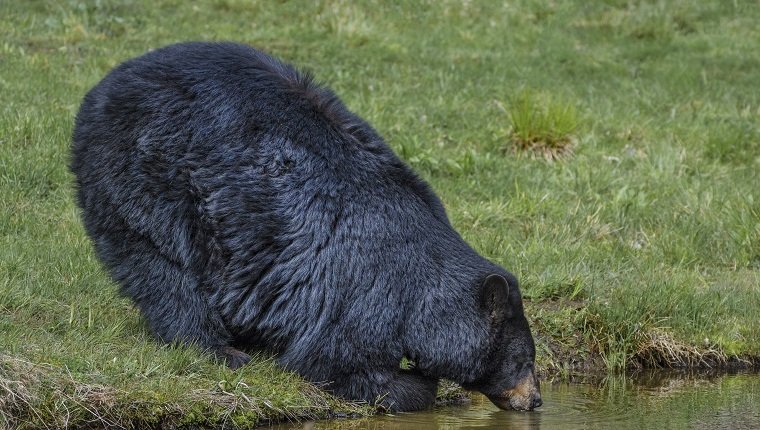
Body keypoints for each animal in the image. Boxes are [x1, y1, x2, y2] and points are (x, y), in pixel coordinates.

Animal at [71, 42, 544, 412]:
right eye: (524, 361)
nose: (536, 399)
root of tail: (103, 86)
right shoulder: (361, 286)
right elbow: (334, 361)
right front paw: (415, 382)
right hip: (147, 174)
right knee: (160, 263)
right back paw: (218, 348)